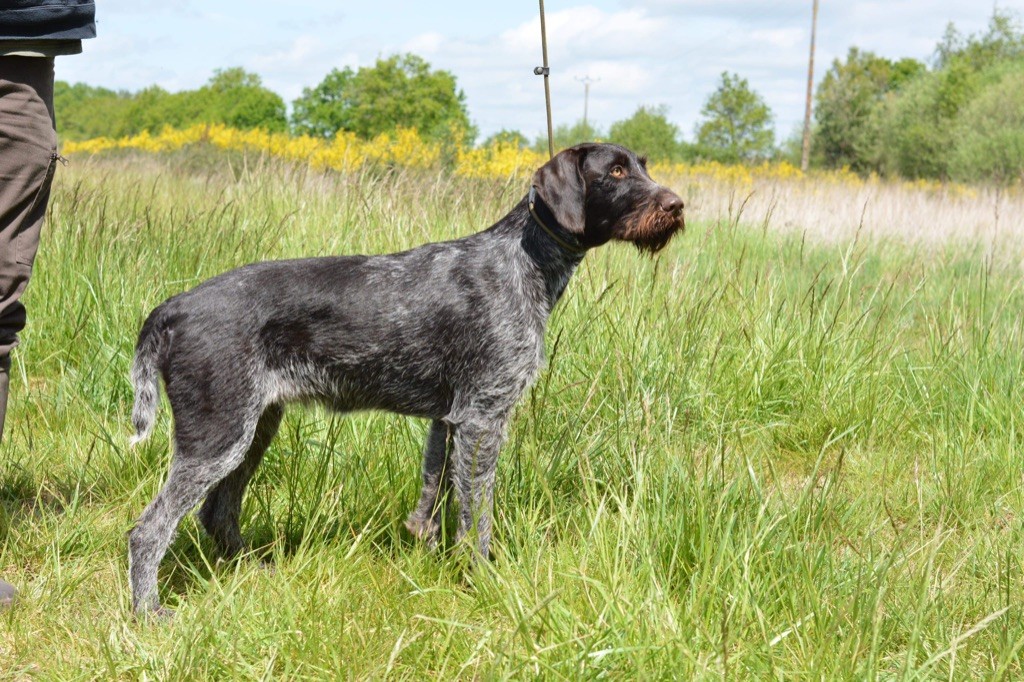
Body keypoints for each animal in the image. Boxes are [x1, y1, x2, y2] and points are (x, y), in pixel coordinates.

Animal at [130, 142, 688, 610]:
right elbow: (476, 515)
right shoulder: (483, 416)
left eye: (643, 165)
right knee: (149, 530)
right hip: (218, 435)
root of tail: (173, 308)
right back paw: (150, 613)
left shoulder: (451, 418)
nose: (677, 205)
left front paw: (426, 547)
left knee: (216, 512)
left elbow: (435, 492)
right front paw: (482, 581)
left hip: (253, 428)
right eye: (615, 171)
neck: (524, 259)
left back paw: (253, 572)